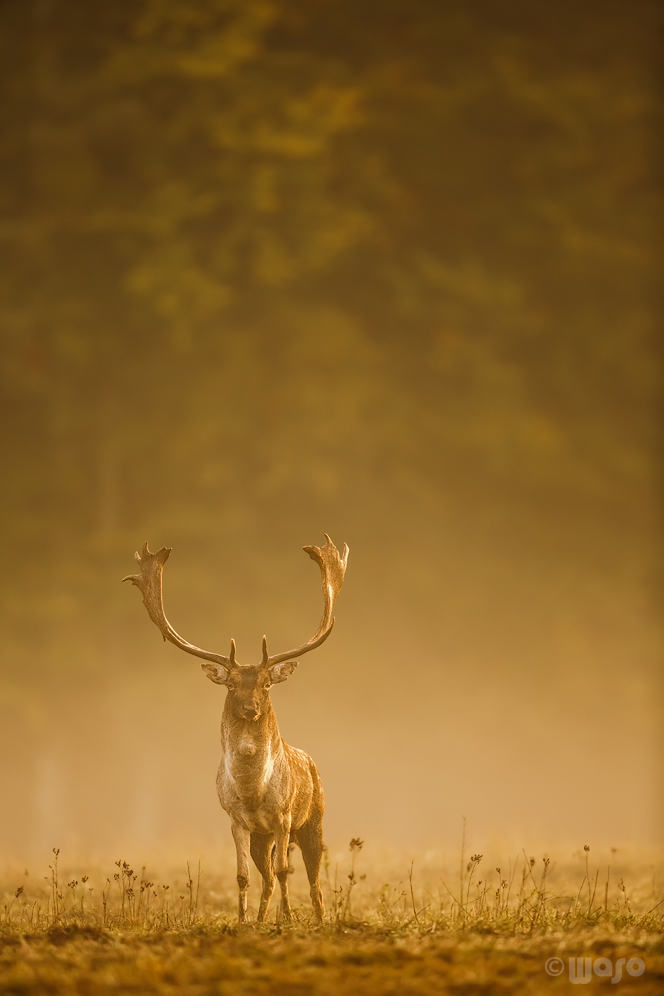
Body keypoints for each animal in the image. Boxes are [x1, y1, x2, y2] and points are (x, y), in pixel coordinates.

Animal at [122, 532, 348, 924]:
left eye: (266, 684)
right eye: (230, 685)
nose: (250, 708)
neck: (252, 790)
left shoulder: (283, 816)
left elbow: (286, 871)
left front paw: (287, 918)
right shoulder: (236, 820)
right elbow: (243, 876)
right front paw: (244, 921)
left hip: (313, 820)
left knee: (312, 878)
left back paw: (317, 918)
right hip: (262, 838)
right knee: (267, 875)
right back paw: (260, 918)